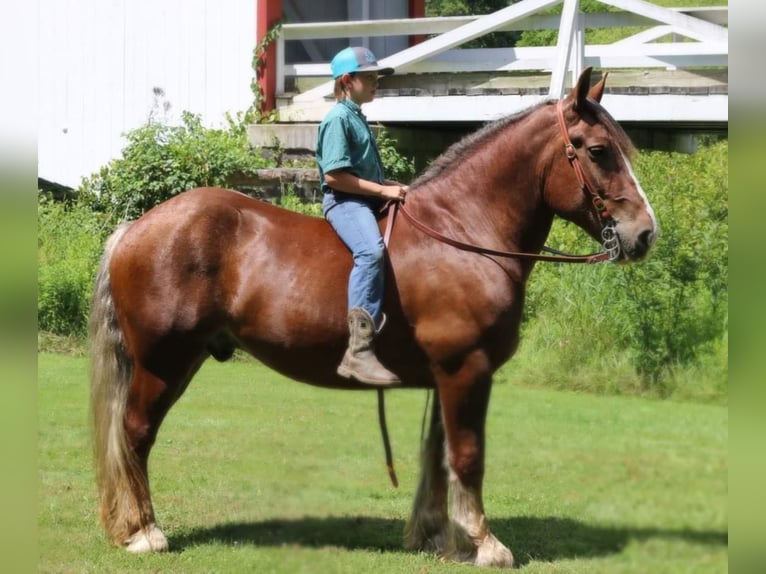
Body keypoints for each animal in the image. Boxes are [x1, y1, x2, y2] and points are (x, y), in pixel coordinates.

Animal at [87, 67, 656, 568]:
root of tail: (135, 228)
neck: (464, 233)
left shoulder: (448, 375)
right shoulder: (467, 369)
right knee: (135, 432)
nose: (645, 233)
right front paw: (485, 544)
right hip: (163, 363)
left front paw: (440, 537)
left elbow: (440, 456)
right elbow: (467, 455)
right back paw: (145, 532)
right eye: (599, 151)